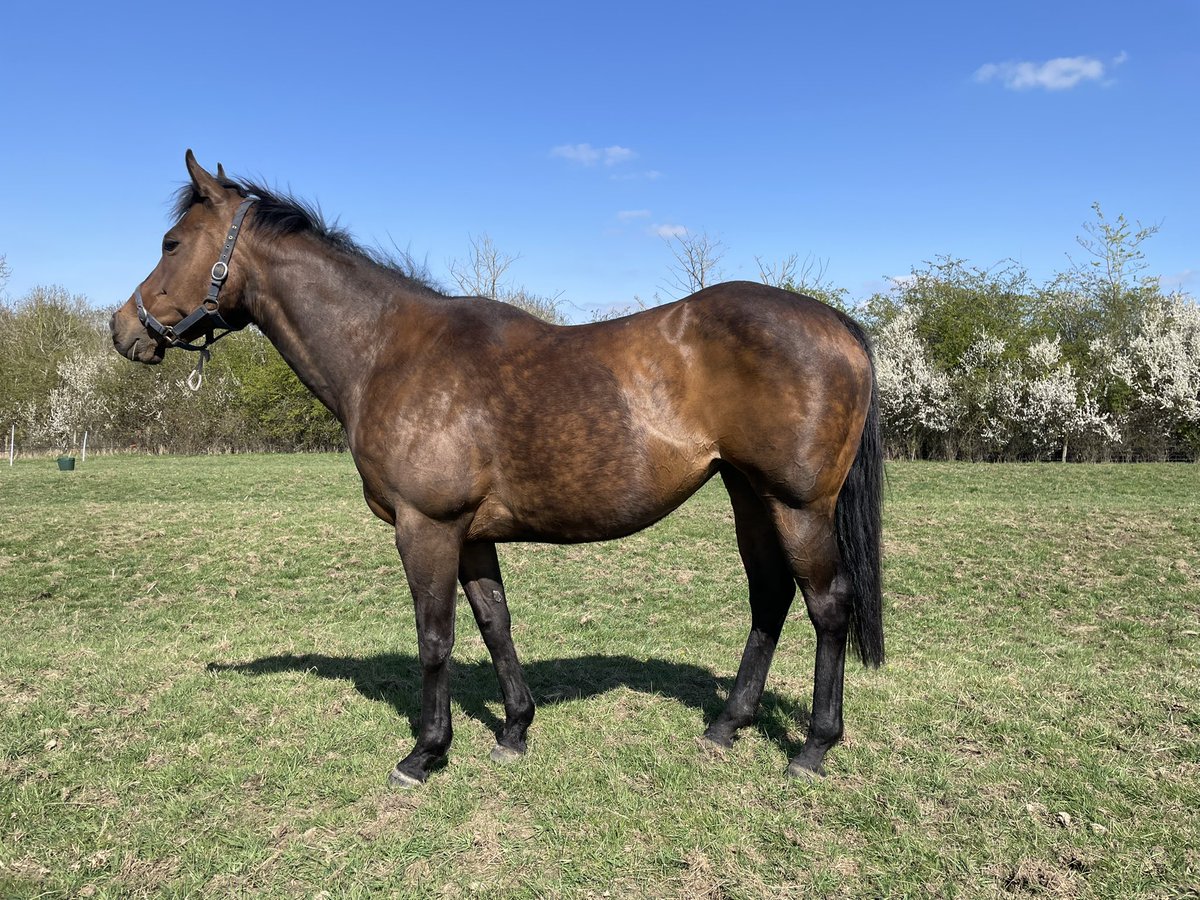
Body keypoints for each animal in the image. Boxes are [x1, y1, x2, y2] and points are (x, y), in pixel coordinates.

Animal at [111, 151, 884, 787]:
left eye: (171, 244)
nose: (123, 330)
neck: (387, 351)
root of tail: (838, 326)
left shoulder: (427, 527)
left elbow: (435, 639)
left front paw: (426, 753)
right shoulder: (472, 535)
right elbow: (494, 623)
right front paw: (513, 731)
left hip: (798, 506)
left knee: (827, 606)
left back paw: (814, 747)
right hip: (749, 494)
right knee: (769, 598)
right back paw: (726, 726)